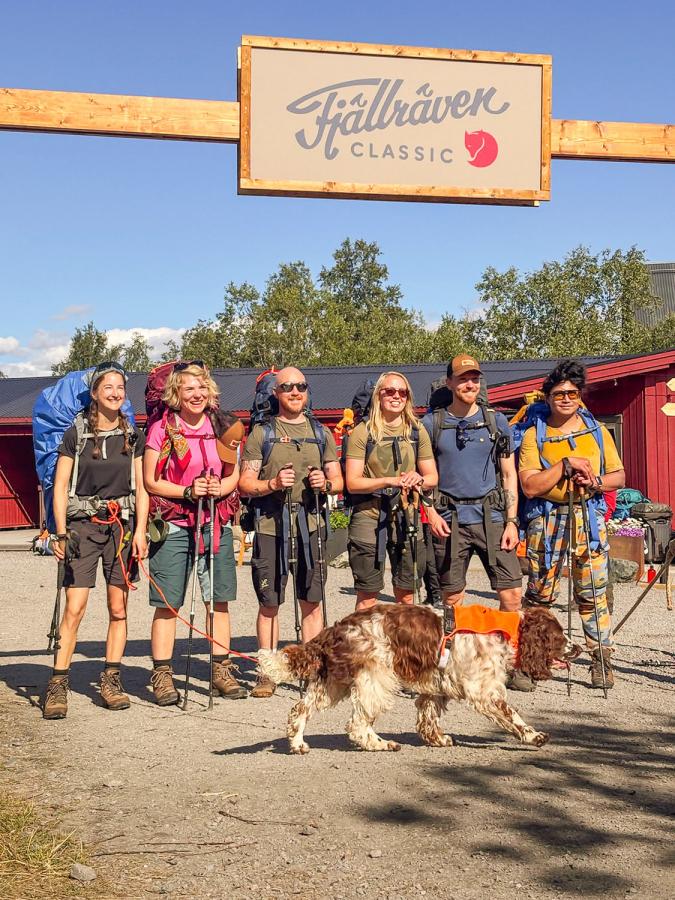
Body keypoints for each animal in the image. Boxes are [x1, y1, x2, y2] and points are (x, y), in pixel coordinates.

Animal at [258, 604, 580, 754]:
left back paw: (298, 744)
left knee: (300, 710)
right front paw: (534, 736)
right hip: (376, 678)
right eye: (559, 636)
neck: (508, 632)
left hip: (334, 682)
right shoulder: (485, 692)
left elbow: (428, 717)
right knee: (358, 724)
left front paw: (437, 739)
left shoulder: (435, 689)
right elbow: (514, 716)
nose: (577, 648)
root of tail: (336, 628)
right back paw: (381, 744)